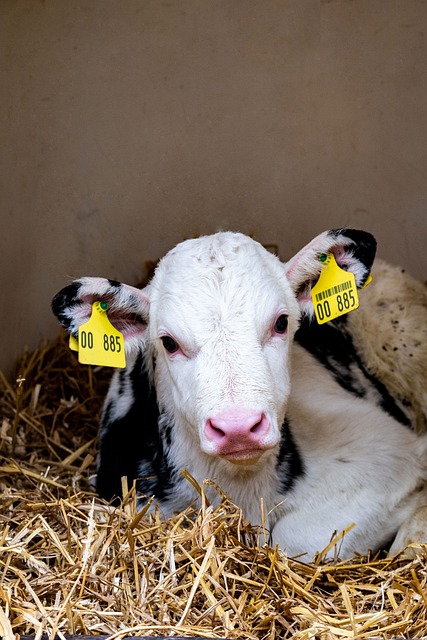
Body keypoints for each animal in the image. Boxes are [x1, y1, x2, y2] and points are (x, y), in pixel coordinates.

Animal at [51, 228, 427, 560]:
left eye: (281, 322)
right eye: (168, 342)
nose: (238, 428)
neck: (243, 487)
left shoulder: (387, 451)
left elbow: (295, 537)